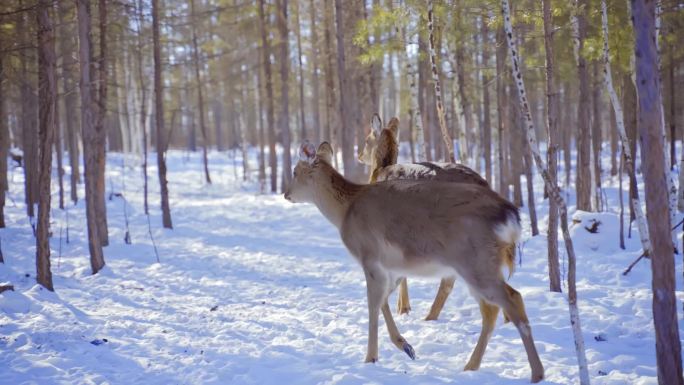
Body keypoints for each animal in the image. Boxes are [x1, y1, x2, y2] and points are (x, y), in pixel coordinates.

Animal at [284, 142, 544, 382]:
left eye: (295, 172)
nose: (286, 194)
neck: (345, 211)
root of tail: (510, 217)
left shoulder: (369, 255)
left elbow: (372, 305)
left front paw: (370, 357)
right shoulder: (391, 266)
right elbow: (384, 302)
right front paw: (405, 346)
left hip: (476, 262)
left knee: (512, 299)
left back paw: (536, 373)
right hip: (478, 265)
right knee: (491, 310)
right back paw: (471, 366)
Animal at [360, 113, 488, 318]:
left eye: (366, 140)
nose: (359, 156)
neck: (379, 170)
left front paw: (402, 307)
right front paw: (404, 306)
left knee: (450, 279)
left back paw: (429, 317)